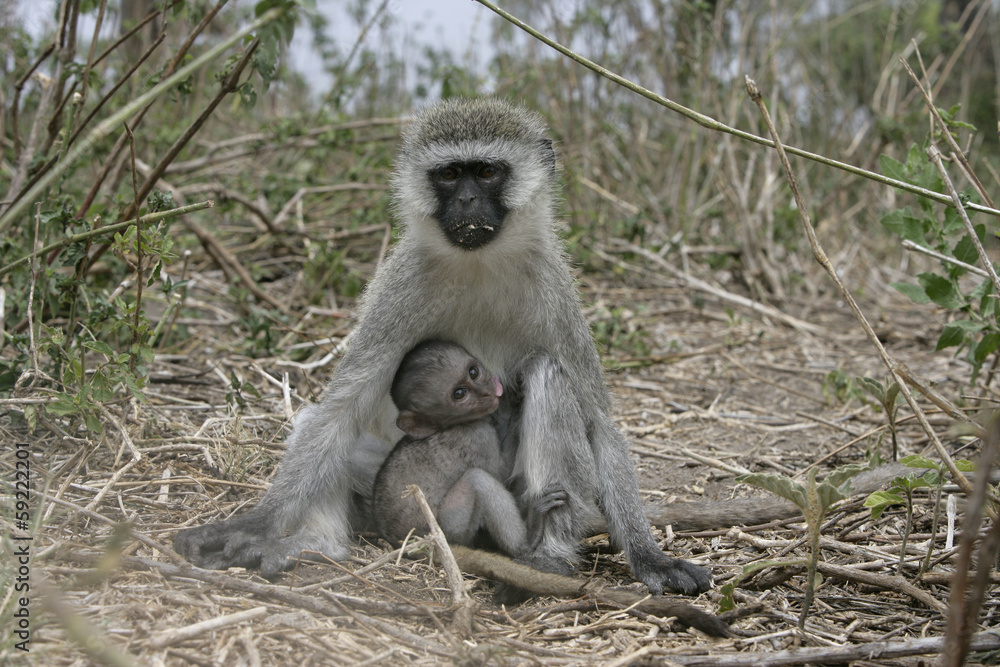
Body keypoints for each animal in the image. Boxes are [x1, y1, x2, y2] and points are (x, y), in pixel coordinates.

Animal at [372, 339, 567, 555]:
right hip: (451, 530)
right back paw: (525, 542)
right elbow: (502, 473)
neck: (454, 424)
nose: (487, 391)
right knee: (478, 480)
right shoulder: (478, 435)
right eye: (459, 394)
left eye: (473, 372)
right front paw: (509, 408)